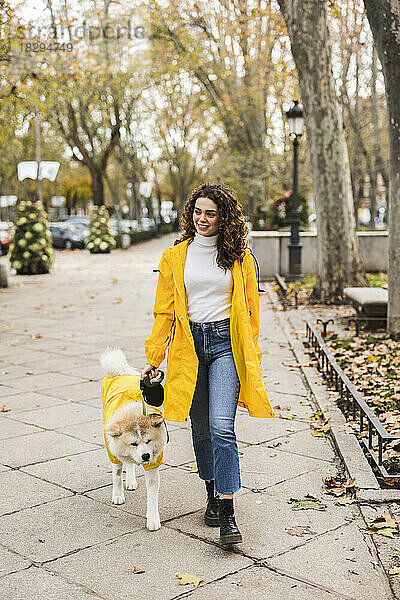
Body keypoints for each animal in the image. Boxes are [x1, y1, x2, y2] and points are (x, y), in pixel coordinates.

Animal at [101, 346, 168, 528]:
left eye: (148, 441)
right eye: (133, 443)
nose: (145, 456)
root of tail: (122, 373)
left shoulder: (153, 462)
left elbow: (152, 495)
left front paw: (153, 519)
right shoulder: (114, 452)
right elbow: (117, 477)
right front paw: (118, 495)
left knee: (130, 464)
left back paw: (131, 479)